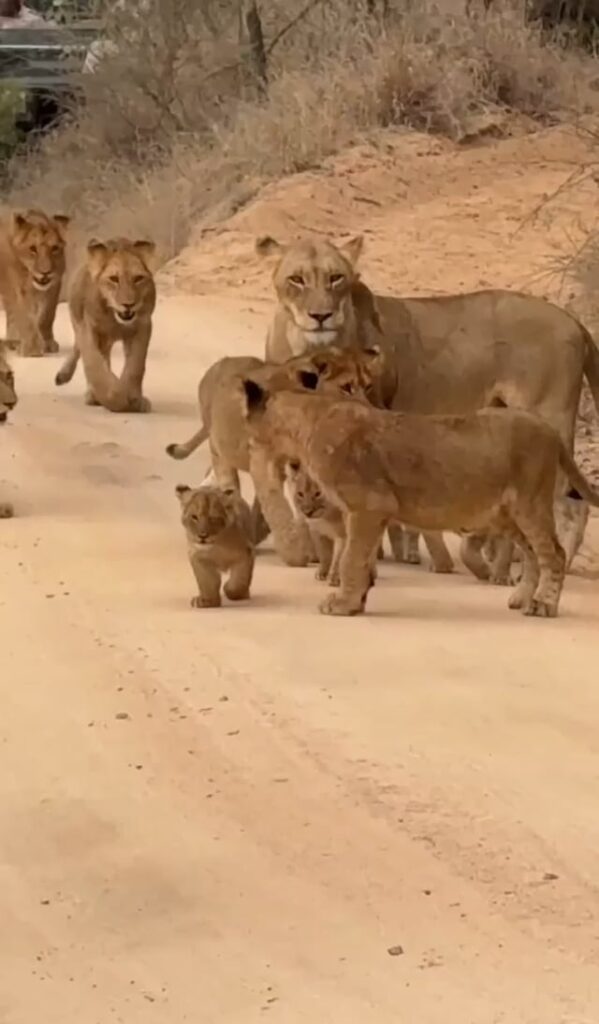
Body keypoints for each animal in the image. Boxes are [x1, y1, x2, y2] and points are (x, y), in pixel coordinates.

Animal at [0, 205, 70, 358]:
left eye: (54, 248)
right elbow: (26, 316)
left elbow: (47, 316)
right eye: (33, 249)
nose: (45, 272)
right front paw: (31, 349)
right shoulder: (19, 288)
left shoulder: (54, 285)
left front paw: (48, 343)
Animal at [54, 237, 156, 413]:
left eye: (138, 278)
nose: (128, 304)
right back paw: (68, 379)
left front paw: (135, 399)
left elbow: (135, 366)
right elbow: (94, 365)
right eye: (114, 279)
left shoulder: (143, 326)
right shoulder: (88, 328)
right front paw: (114, 398)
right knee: (79, 349)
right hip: (79, 321)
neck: (115, 319)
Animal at [165, 344, 380, 569]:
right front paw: (295, 554)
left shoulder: (300, 464)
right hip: (220, 451)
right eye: (346, 387)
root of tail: (222, 362)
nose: (369, 410)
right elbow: (278, 508)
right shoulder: (263, 461)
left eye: (368, 386)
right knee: (230, 486)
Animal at [239, 376, 597, 614]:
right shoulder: (372, 512)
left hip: (530, 503)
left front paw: (342, 603)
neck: (305, 425)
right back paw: (521, 599)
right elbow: (362, 558)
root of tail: (550, 430)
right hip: (507, 514)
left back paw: (543, 604)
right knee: (535, 554)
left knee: (554, 553)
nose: (248, 449)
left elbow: (352, 558)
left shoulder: (368, 506)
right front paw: (358, 601)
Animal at [255, 234, 597, 581]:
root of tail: (572, 321)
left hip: (548, 418)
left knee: (569, 504)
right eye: (296, 279)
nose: (320, 316)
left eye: (336, 277)